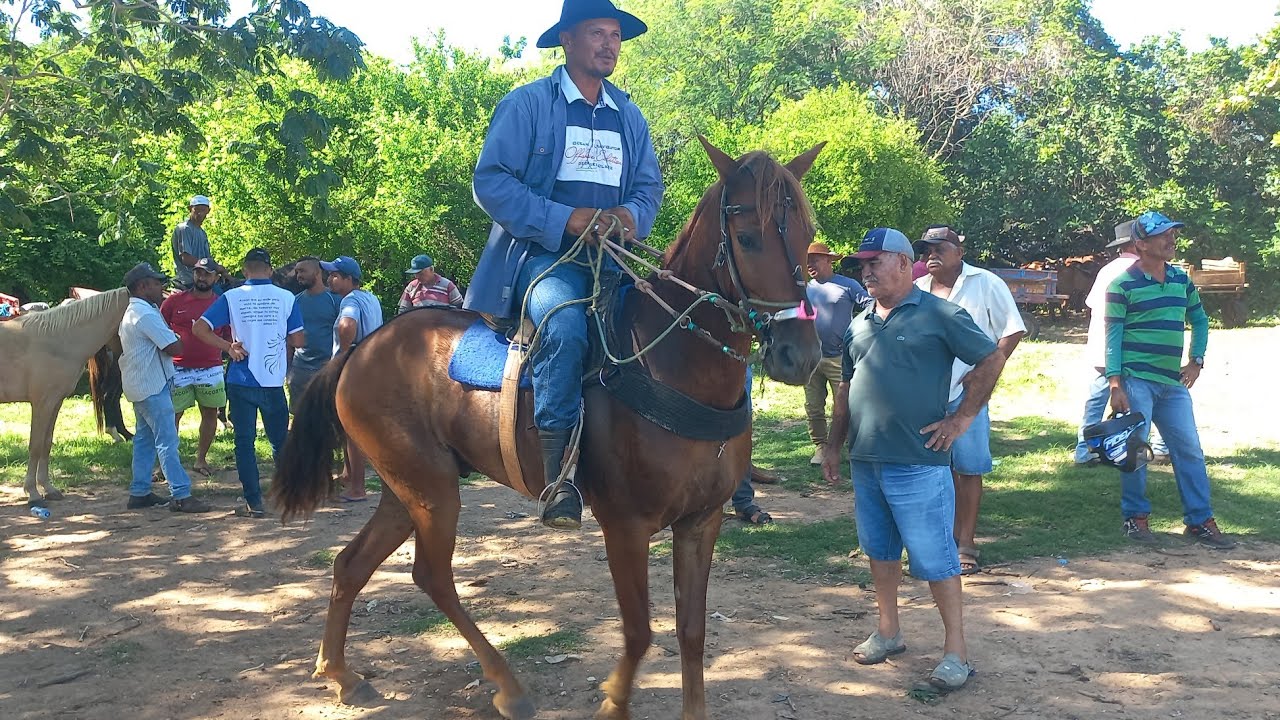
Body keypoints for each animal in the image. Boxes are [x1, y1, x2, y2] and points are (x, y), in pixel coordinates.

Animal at [0, 287, 131, 507]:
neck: (58, 340)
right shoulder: (42, 403)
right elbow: (35, 446)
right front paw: (33, 494)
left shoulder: (55, 402)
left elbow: (46, 443)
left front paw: (48, 489)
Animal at [272, 138, 825, 720]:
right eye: (746, 238)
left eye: (807, 233)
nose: (798, 353)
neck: (673, 364)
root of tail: (360, 347)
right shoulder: (625, 526)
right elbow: (638, 632)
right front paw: (613, 703)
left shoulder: (702, 521)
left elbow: (691, 631)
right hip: (431, 489)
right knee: (432, 575)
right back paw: (506, 686)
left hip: (405, 490)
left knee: (350, 565)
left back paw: (340, 673)